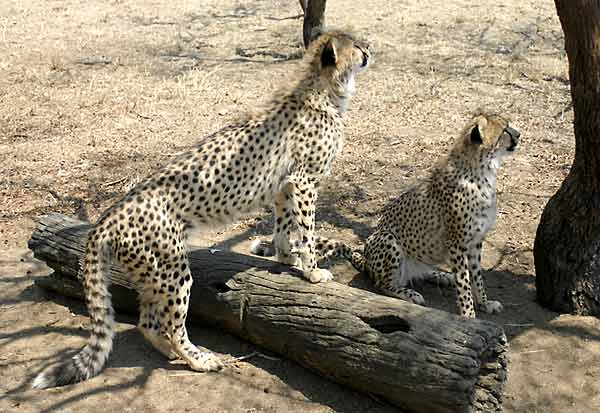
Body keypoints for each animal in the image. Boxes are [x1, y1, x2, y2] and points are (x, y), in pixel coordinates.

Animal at [31, 30, 370, 388]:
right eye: (355, 45)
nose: (369, 49)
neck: (323, 89)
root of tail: (108, 216)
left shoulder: (283, 185)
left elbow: (283, 224)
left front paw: (285, 258)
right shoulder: (304, 181)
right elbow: (305, 230)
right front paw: (312, 271)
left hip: (150, 273)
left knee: (147, 321)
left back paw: (168, 352)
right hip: (173, 271)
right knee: (172, 324)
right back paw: (199, 360)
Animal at [260, 111, 516, 318]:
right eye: (505, 130)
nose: (519, 135)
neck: (482, 170)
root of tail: (365, 259)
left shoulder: (475, 242)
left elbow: (476, 277)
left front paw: (484, 303)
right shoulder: (457, 244)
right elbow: (465, 284)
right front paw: (469, 316)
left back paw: (442, 276)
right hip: (386, 239)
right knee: (383, 284)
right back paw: (409, 293)